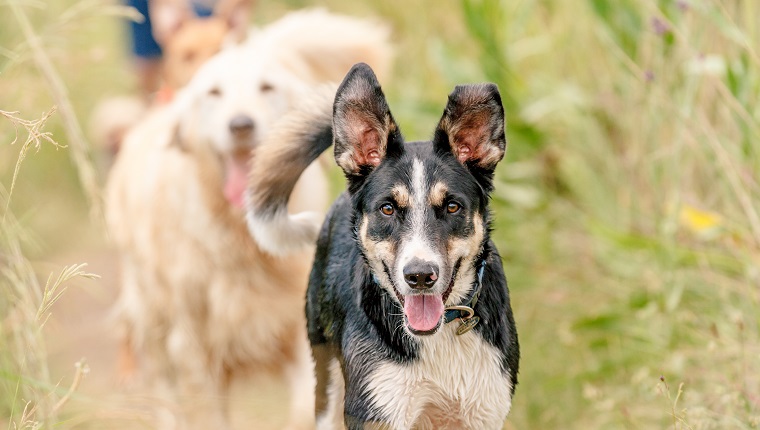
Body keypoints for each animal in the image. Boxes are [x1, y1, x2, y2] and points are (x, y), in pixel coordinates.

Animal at [246, 62, 520, 428]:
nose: (420, 276)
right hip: (326, 375)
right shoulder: (379, 407)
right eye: (387, 209)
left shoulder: (484, 409)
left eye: (452, 207)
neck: (436, 338)